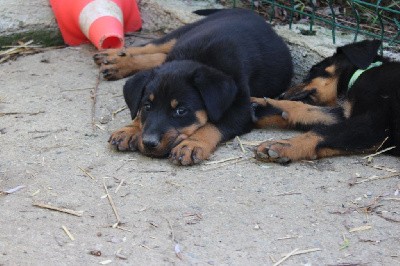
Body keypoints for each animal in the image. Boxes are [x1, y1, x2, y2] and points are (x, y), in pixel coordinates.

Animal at [95, 9, 292, 165]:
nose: (149, 143)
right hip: (182, 32)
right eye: (147, 106)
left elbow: (212, 125)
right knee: (150, 46)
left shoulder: (242, 109)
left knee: (158, 54)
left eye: (181, 111)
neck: (200, 59)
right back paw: (114, 58)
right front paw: (130, 129)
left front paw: (192, 144)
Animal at [253, 40, 400, 164]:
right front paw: (261, 106)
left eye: (312, 71)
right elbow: (306, 109)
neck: (360, 74)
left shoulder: (374, 125)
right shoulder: (347, 115)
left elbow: (324, 132)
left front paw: (281, 145)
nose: (281, 95)